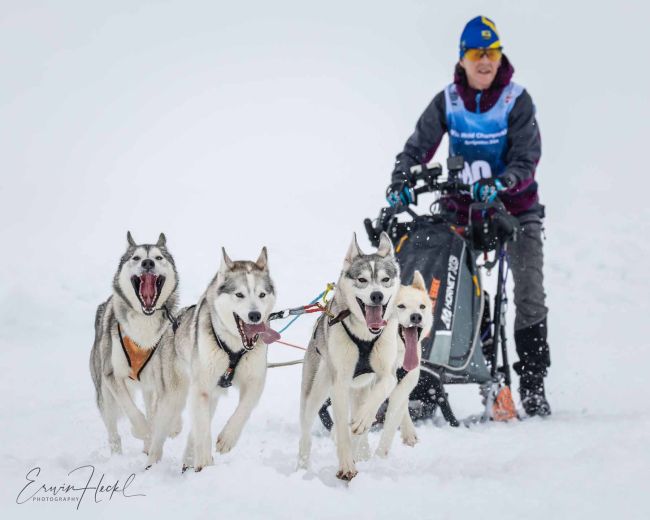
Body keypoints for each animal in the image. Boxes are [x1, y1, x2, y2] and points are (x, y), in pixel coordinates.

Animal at [89, 232, 189, 467]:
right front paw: (141, 430)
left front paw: (173, 427)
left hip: (148, 386)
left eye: (158, 257)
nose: (148, 263)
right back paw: (120, 454)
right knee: (114, 432)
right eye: (136, 258)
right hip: (104, 396)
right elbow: (132, 410)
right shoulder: (112, 375)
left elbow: (164, 409)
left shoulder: (163, 375)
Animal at [178, 247, 278, 472]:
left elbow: (244, 409)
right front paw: (204, 461)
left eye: (262, 294)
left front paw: (227, 438)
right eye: (239, 294)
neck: (234, 347)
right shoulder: (201, 387)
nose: (255, 315)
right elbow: (202, 429)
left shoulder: (255, 380)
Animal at [298, 232, 400, 480]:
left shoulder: (388, 374)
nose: (377, 295)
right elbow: (343, 430)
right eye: (362, 280)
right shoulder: (340, 382)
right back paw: (302, 467)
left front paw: (362, 421)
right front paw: (346, 465)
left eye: (385, 279)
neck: (365, 334)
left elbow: (377, 397)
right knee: (305, 432)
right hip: (315, 391)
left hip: (360, 389)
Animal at [375, 271, 432, 457]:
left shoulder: (406, 381)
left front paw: (379, 456)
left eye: (422, 306)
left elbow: (393, 418)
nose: (416, 316)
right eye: (401, 306)